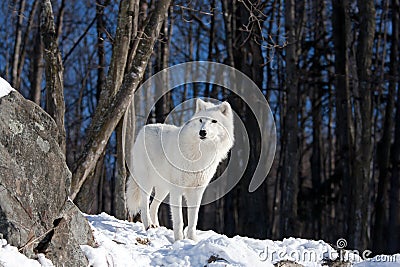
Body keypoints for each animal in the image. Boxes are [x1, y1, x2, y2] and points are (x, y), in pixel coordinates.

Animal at [126, 98, 234, 241]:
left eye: (214, 121)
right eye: (201, 120)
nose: (202, 132)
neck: (201, 152)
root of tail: (144, 128)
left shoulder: (196, 191)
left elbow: (193, 220)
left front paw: (192, 240)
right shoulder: (177, 190)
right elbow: (179, 220)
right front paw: (179, 240)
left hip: (164, 189)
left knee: (153, 206)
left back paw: (156, 226)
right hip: (147, 183)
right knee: (145, 205)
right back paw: (148, 225)